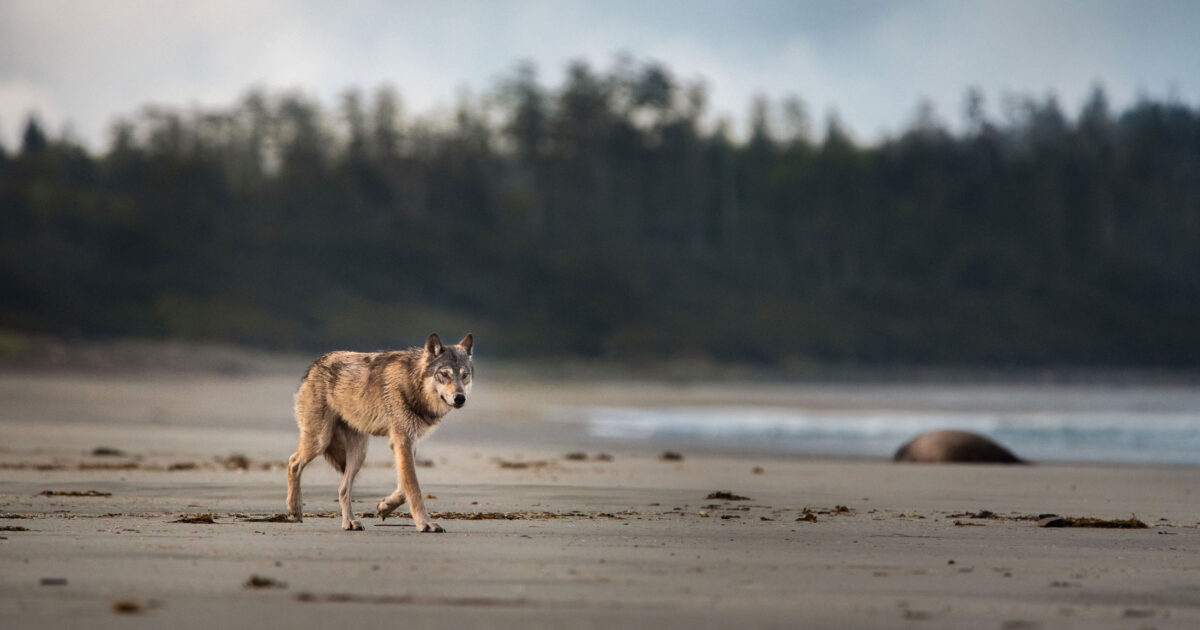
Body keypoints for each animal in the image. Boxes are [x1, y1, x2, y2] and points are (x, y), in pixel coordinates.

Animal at [286, 332, 474, 532]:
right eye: (445, 374)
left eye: (464, 375)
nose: (460, 398)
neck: (412, 384)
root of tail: (315, 364)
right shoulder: (402, 441)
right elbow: (414, 488)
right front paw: (425, 523)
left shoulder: (406, 443)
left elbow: (403, 488)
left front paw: (385, 506)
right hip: (320, 441)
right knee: (294, 462)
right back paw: (295, 509)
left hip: (359, 453)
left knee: (343, 488)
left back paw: (349, 522)